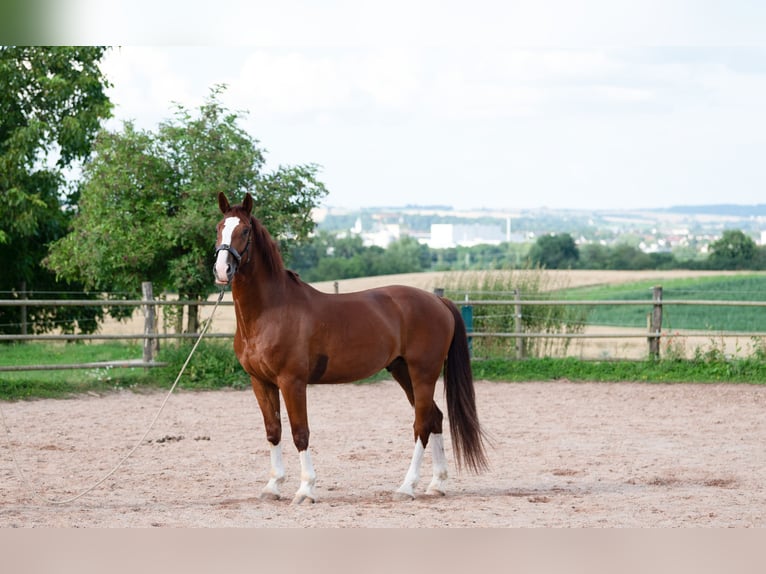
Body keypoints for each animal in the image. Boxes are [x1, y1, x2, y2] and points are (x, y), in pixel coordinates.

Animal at [213, 194, 488, 504]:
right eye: (220, 227)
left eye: (245, 230)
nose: (222, 270)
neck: (271, 310)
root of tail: (438, 301)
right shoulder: (260, 382)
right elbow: (274, 431)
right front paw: (273, 486)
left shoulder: (292, 381)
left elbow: (300, 432)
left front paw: (306, 489)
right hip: (402, 371)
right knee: (435, 418)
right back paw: (436, 484)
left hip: (424, 373)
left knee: (421, 425)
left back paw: (407, 487)